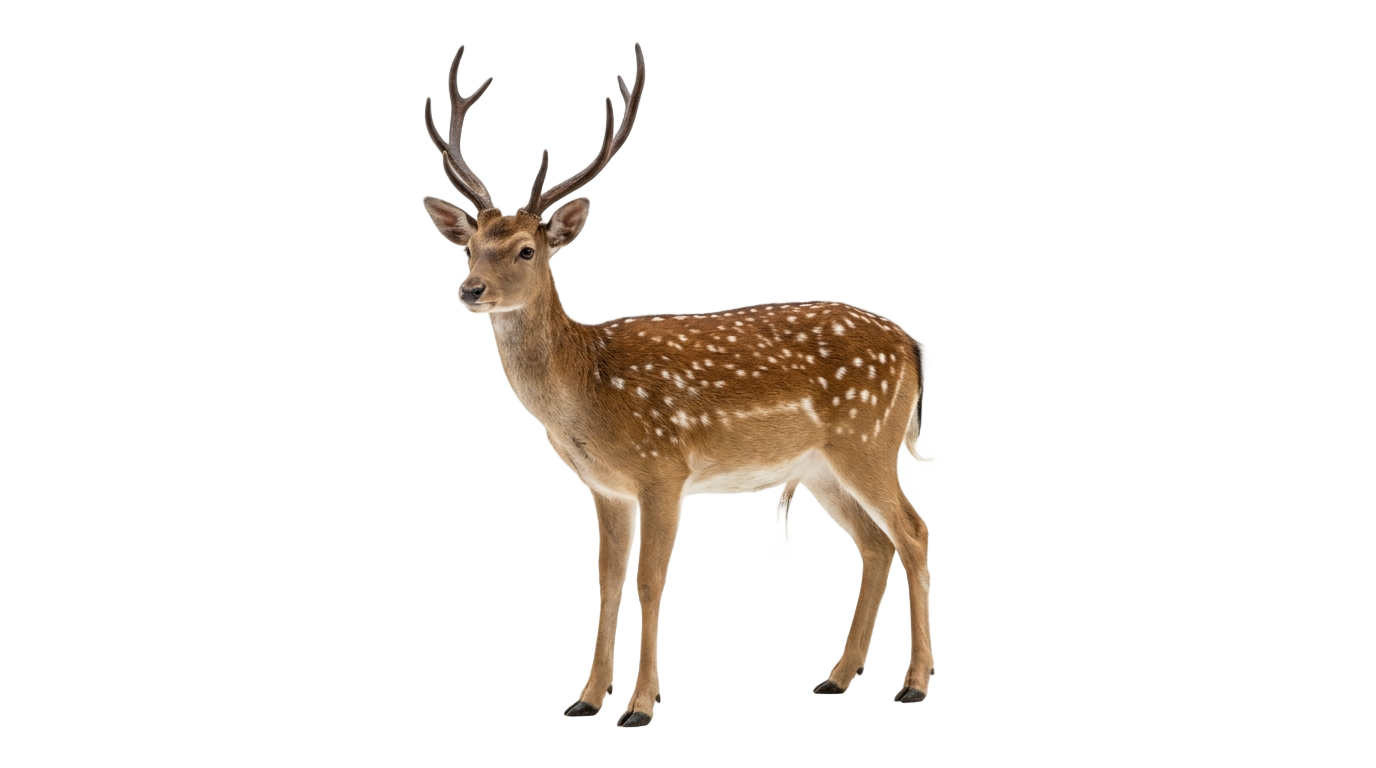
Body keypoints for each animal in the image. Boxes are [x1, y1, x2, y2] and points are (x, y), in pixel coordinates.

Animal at [420, 44, 936, 730]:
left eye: (527, 249)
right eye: (470, 246)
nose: (471, 290)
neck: (590, 389)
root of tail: (910, 346)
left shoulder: (663, 468)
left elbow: (649, 581)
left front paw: (640, 707)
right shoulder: (604, 486)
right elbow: (605, 582)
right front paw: (585, 700)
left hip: (868, 439)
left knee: (913, 531)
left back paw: (915, 686)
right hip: (822, 464)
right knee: (875, 541)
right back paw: (835, 678)